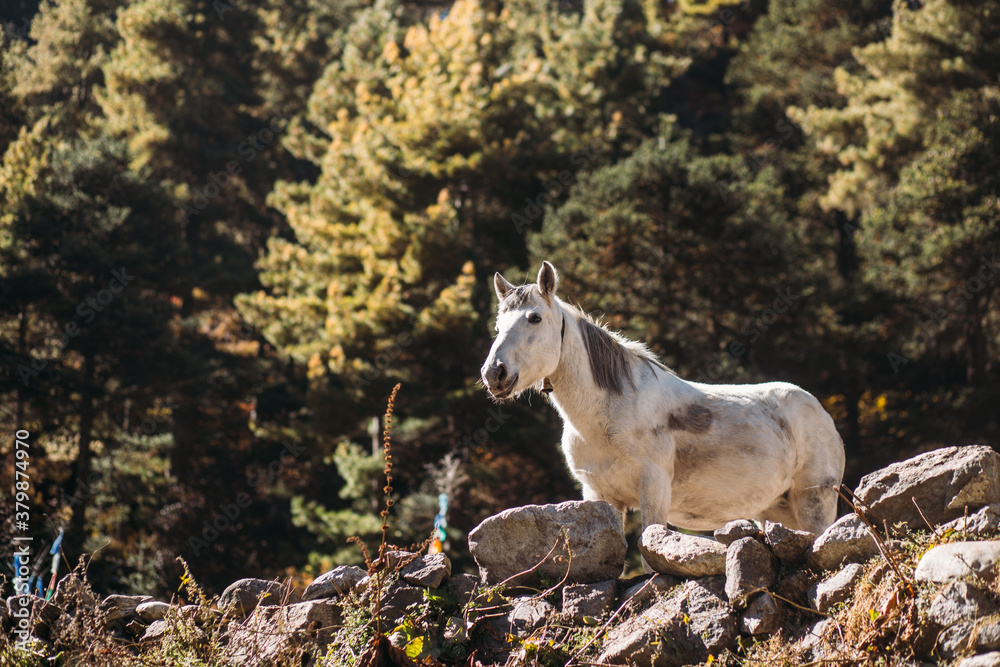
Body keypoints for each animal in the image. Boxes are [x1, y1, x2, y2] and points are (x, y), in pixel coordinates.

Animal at [481, 261, 845, 544]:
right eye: (497, 326)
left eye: (535, 318)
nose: (494, 373)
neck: (606, 416)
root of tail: (819, 410)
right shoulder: (599, 496)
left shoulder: (653, 489)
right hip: (773, 511)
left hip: (813, 504)